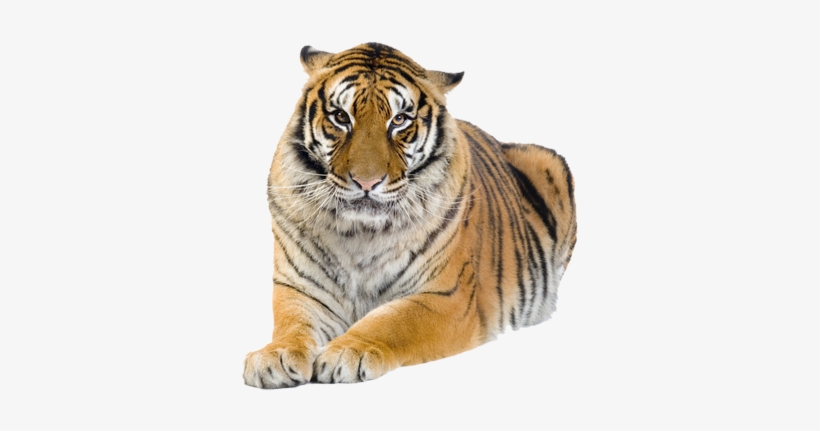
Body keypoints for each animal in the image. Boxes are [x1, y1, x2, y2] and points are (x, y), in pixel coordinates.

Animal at [243, 43, 577, 388]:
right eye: (341, 117)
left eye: (399, 120)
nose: (366, 182)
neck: (360, 234)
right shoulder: (299, 288)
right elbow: (292, 324)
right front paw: (276, 356)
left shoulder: (445, 296)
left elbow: (391, 322)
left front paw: (347, 352)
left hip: (549, 163)